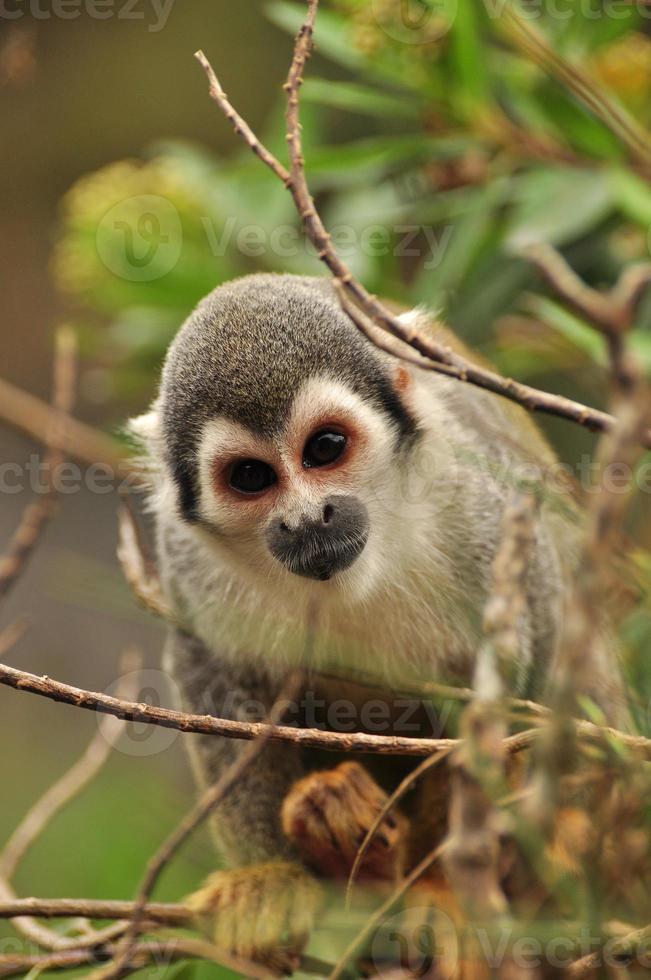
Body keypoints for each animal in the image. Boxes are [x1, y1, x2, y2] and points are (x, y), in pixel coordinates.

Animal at [130, 272, 624, 968]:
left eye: (325, 448)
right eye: (250, 476)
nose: (308, 519)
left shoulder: (480, 504)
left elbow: (517, 666)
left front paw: (442, 890)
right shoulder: (186, 554)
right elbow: (210, 667)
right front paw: (268, 879)